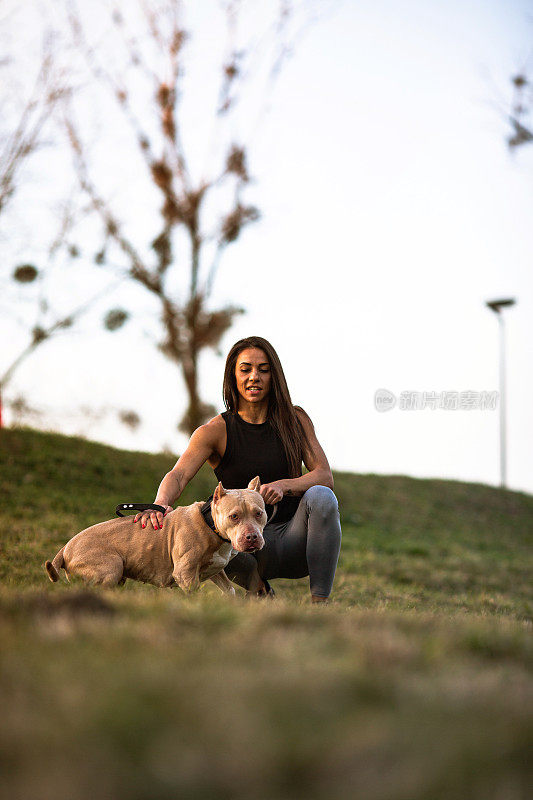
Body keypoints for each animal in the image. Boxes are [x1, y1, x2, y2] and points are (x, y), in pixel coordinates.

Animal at [44, 476, 266, 592]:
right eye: (234, 516)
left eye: (259, 513)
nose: (252, 537)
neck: (210, 524)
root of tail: (65, 547)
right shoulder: (185, 574)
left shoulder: (217, 569)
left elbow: (230, 590)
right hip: (111, 566)